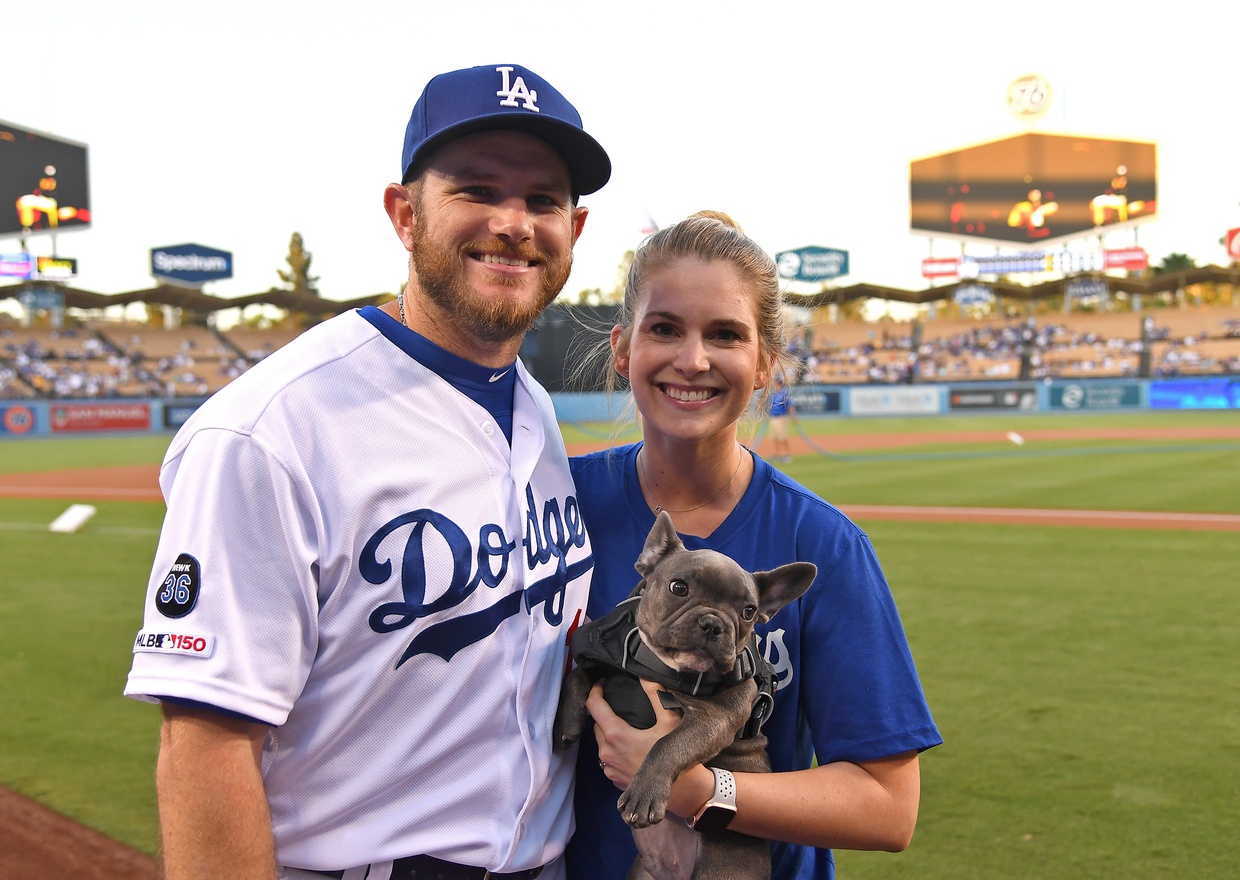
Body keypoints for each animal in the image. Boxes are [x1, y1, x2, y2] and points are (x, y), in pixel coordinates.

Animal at [558, 510, 818, 880]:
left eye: (749, 612)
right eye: (679, 587)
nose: (713, 623)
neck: (662, 666)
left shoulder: (715, 720)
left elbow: (668, 744)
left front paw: (644, 793)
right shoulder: (610, 668)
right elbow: (578, 674)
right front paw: (566, 723)